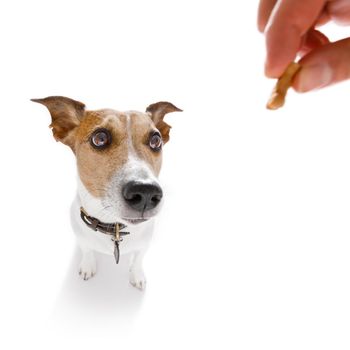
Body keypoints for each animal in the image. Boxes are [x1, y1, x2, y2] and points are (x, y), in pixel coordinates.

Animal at [32, 95, 183, 290]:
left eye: (155, 140)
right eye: (100, 138)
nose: (146, 192)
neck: (114, 227)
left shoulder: (144, 245)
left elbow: (138, 260)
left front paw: (137, 276)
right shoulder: (82, 240)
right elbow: (87, 251)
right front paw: (87, 267)